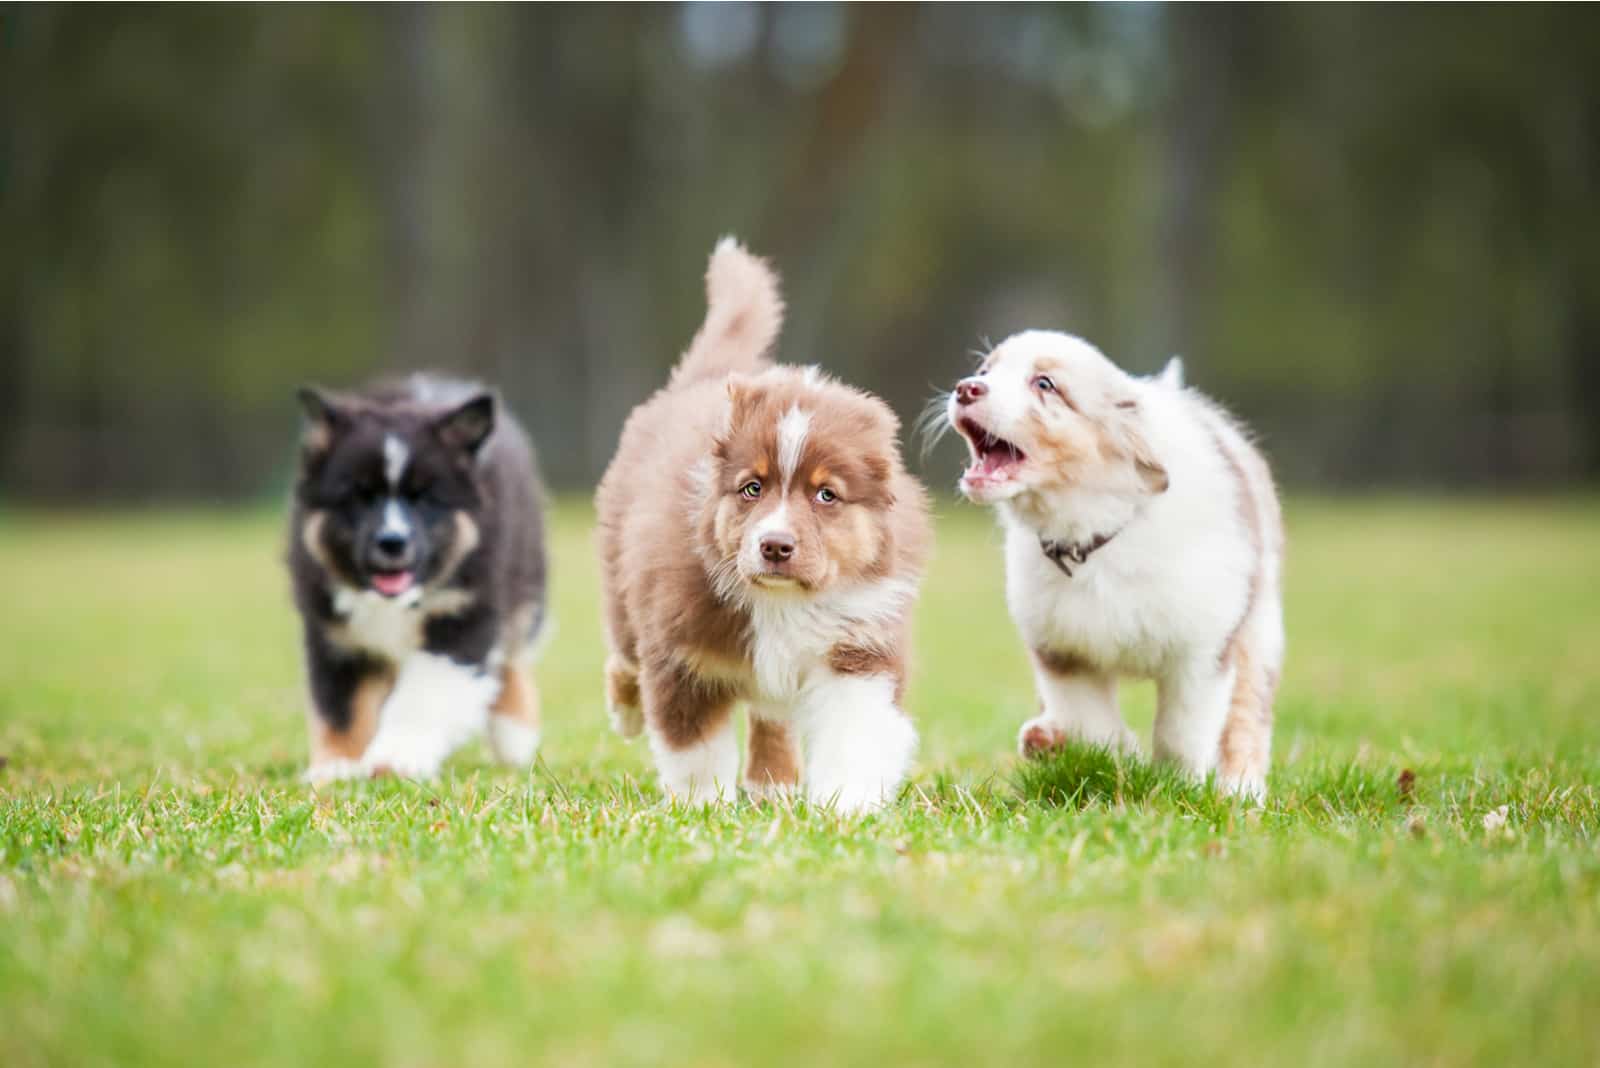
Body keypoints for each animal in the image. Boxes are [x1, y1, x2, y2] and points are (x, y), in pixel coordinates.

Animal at [283, 375, 544, 783]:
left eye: (425, 497)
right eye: (359, 495)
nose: (392, 541)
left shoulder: (465, 614)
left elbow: (424, 694)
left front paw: (396, 759)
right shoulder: (335, 635)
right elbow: (340, 707)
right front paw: (336, 768)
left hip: (525, 580)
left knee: (512, 653)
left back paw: (513, 735)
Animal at [595, 238, 934, 812]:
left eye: (826, 495)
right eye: (753, 488)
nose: (775, 546)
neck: (782, 604)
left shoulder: (860, 648)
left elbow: (854, 734)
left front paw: (845, 808)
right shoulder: (682, 655)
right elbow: (695, 750)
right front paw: (701, 808)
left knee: (771, 714)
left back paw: (772, 783)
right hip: (621, 574)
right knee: (623, 655)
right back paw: (626, 711)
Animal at [940, 329, 1280, 796]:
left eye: (1045, 384)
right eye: (986, 370)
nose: (965, 388)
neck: (1091, 540)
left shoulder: (1202, 649)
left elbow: (1183, 731)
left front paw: (1181, 786)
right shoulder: (1062, 652)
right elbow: (1093, 723)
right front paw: (1119, 755)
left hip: (1258, 629)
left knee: (1248, 715)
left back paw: (1241, 791)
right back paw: (1046, 739)